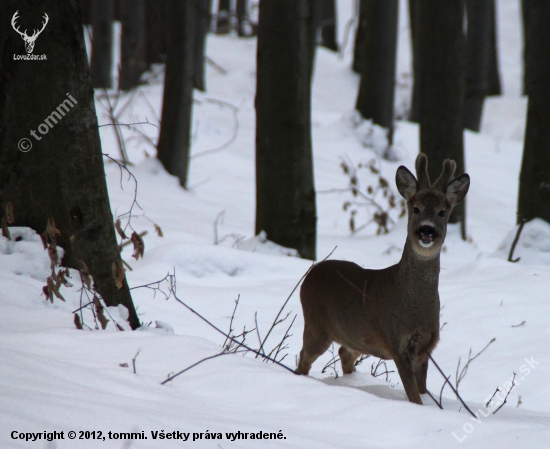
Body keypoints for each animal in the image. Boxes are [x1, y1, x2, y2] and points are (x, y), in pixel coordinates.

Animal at [298, 153, 470, 402]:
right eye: (416, 208)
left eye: (441, 212)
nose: (427, 231)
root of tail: (310, 274)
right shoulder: (398, 342)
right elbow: (415, 397)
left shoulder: (426, 348)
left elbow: (422, 391)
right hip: (315, 325)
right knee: (303, 357)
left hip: (355, 337)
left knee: (343, 352)